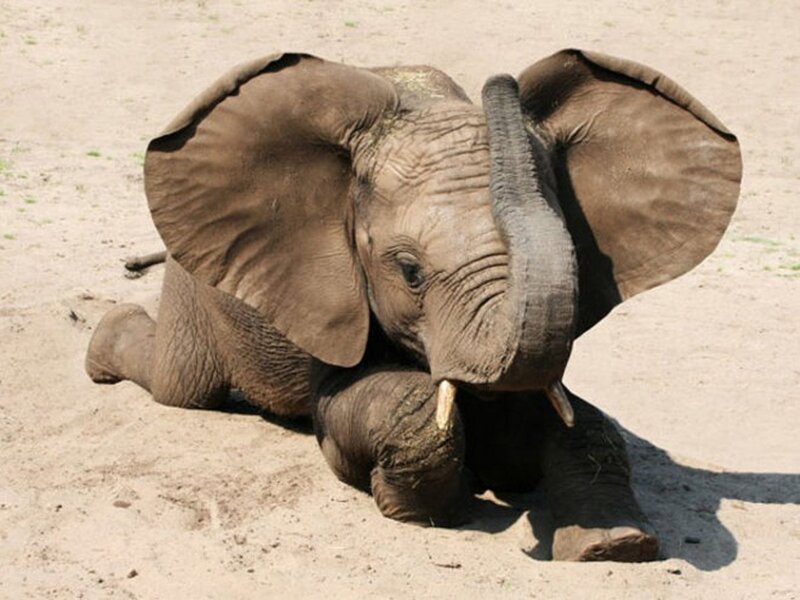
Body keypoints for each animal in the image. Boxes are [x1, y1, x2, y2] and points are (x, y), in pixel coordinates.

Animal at [85, 49, 741, 561]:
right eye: (410, 273)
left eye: (577, 258)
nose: (501, 84)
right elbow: (367, 406)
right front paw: (427, 509)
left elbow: (578, 423)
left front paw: (612, 545)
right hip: (194, 276)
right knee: (184, 386)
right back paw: (102, 341)